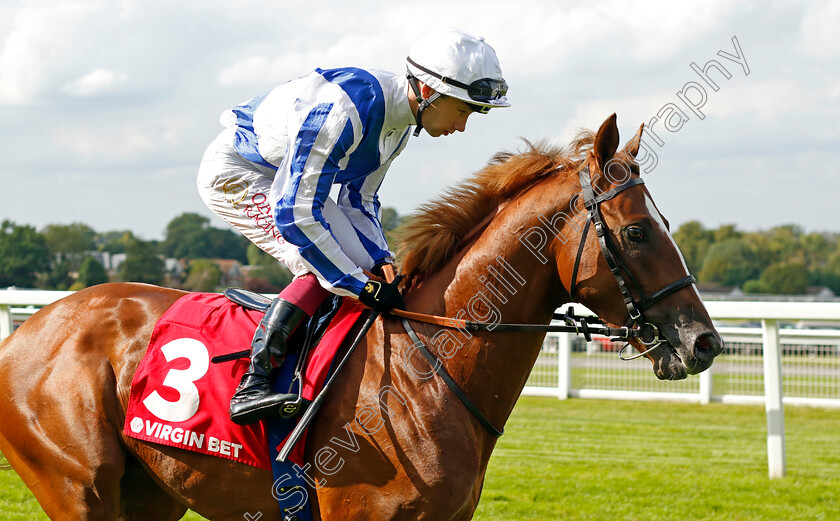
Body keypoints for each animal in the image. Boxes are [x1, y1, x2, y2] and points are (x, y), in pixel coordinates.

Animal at [0, 115, 720, 520]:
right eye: (637, 233)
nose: (703, 341)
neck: (428, 370)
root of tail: (28, 328)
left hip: (151, 495)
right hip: (77, 488)